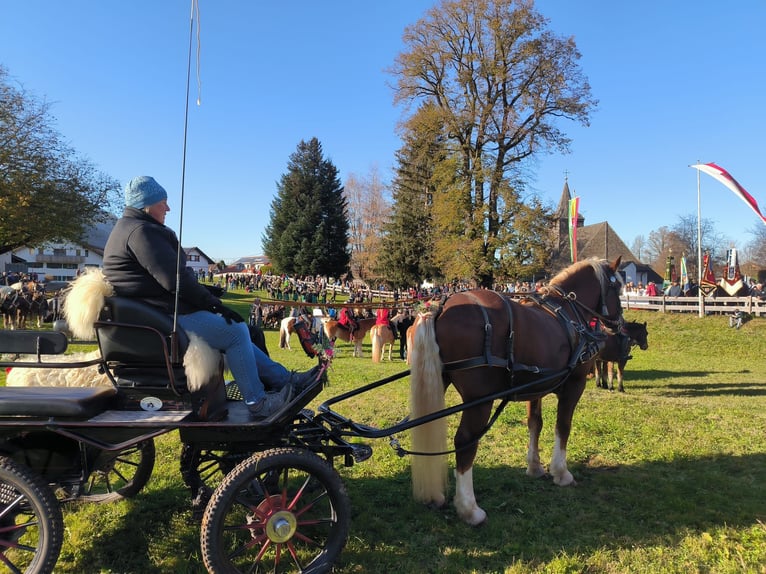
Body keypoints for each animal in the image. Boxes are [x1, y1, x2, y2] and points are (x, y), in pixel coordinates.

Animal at [408, 260, 624, 528]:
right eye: (618, 288)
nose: (619, 323)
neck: (569, 312)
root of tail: (440, 308)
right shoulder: (575, 384)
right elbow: (563, 426)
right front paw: (561, 472)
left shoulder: (535, 386)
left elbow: (535, 423)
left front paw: (535, 467)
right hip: (479, 401)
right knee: (465, 441)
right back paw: (470, 509)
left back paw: (436, 495)